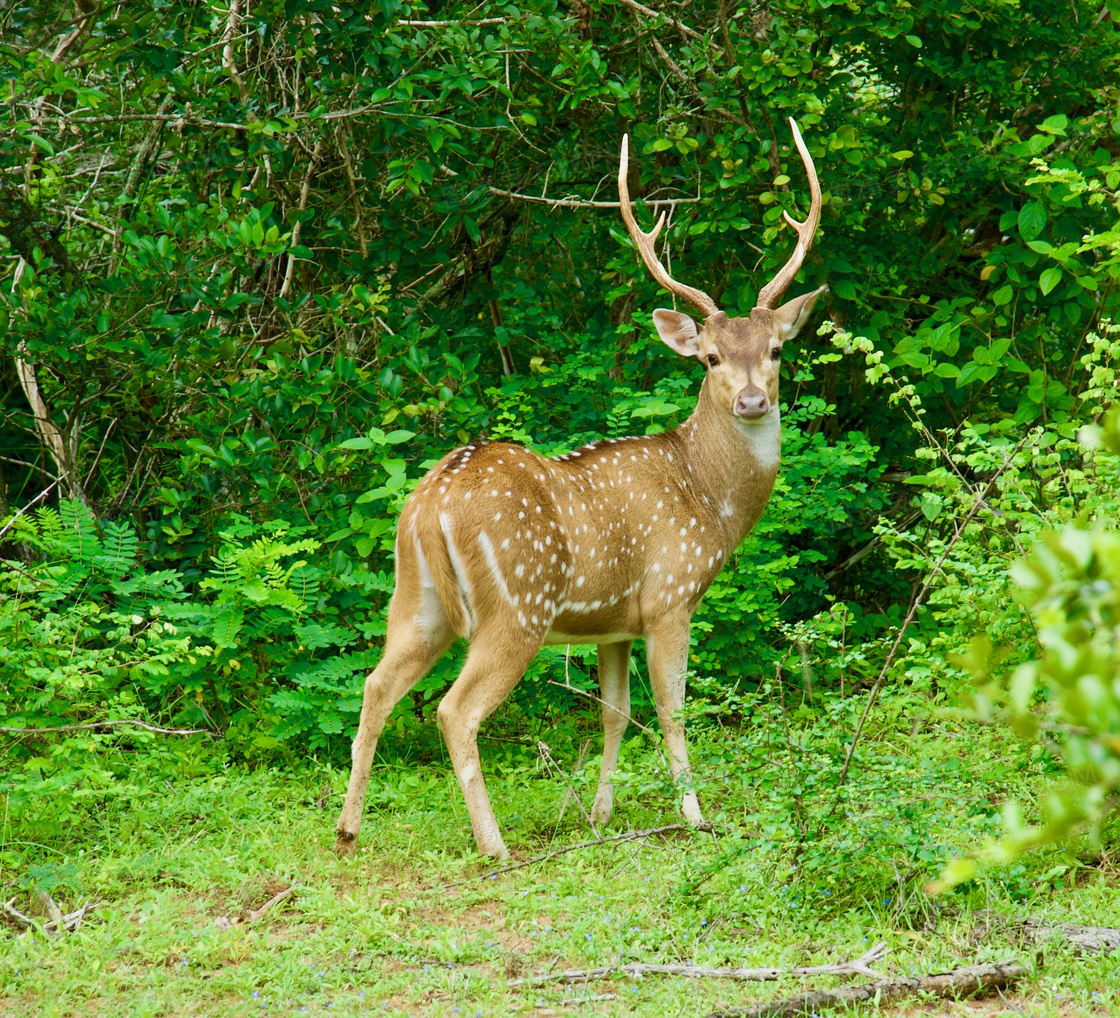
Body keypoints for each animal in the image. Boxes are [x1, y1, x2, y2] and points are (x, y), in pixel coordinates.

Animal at [331, 119, 824, 860]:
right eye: (710, 358)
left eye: (775, 350)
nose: (751, 400)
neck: (709, 497)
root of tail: (429, 505)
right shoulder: (670, 594)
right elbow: (673, 711)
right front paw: (695, 816)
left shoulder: (613, 620)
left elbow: (615, 714)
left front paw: (600, 814)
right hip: (518, 604)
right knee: (454, 709)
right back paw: (495, 846)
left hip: (415, 597)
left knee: (376, 684)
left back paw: (347, 829)